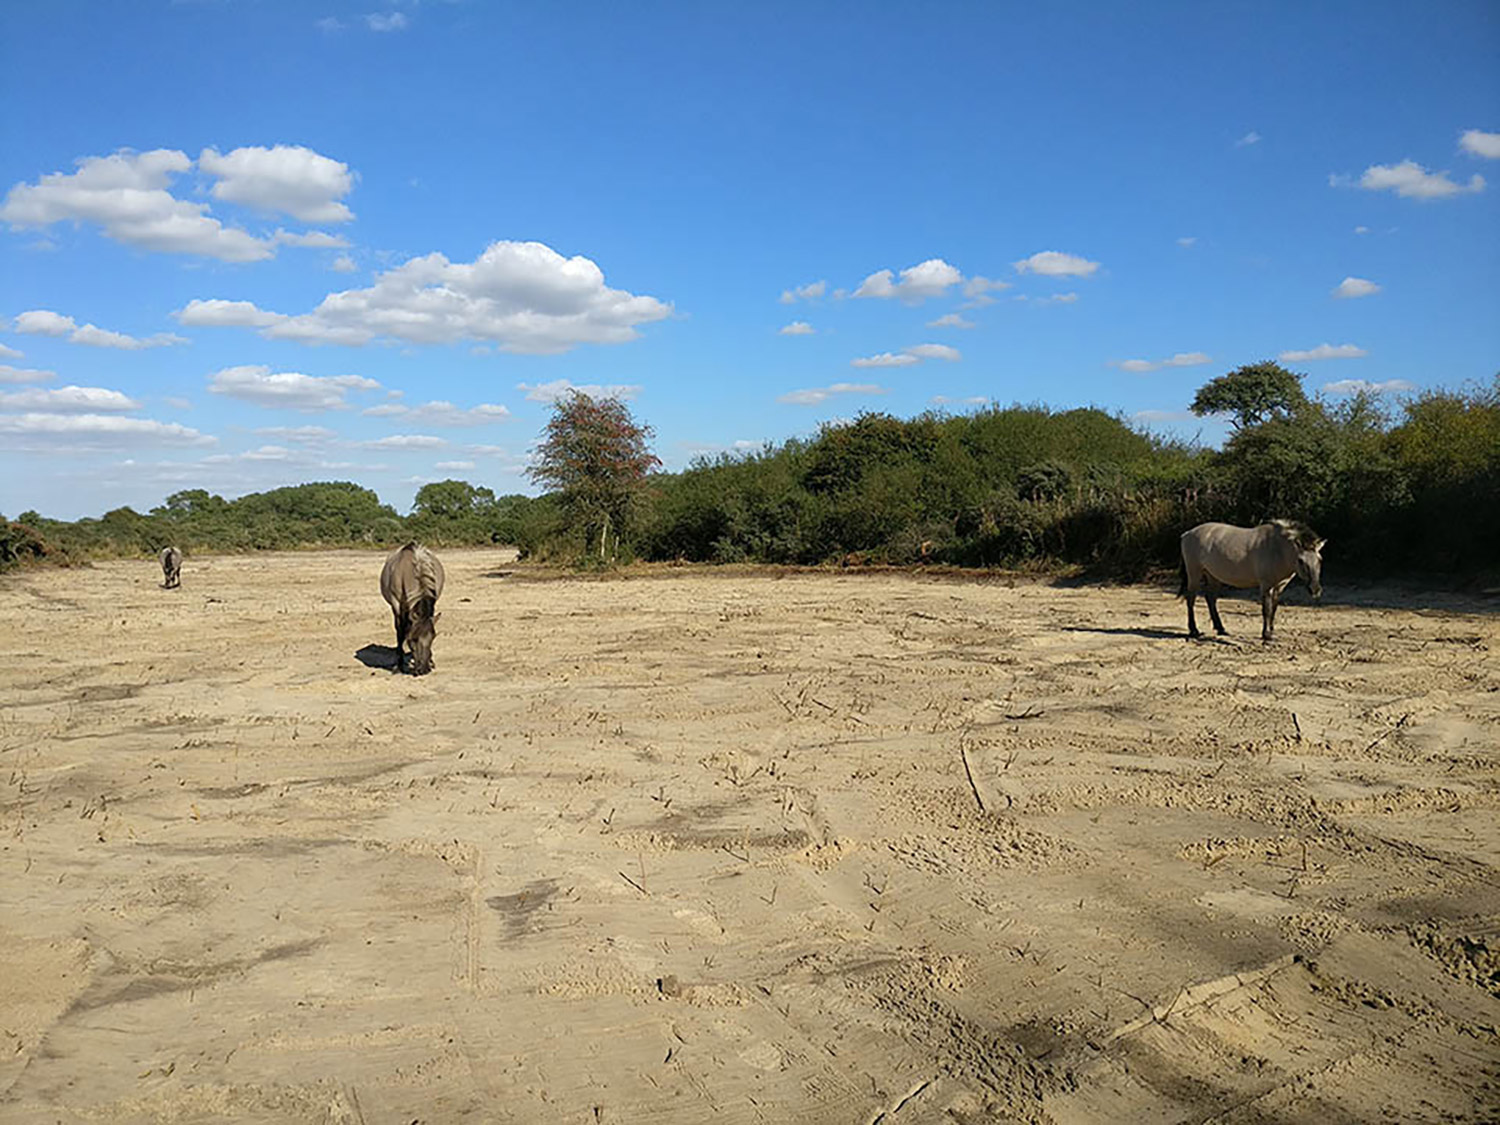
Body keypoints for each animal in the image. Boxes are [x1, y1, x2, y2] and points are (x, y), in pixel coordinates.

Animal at [378, 543, 441, 675]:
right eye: (413, 640)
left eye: (433, 637)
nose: (424, 670)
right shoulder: (396, 606)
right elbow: (400, 632)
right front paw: (398, 666)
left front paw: (431, 661)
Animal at [1182, 522, 1326, 642]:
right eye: (1301, 560)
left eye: (1320, 559)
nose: (1315, 590)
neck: (1277, 548)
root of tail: (1187, 533)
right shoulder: (1266, 585)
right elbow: (1266, 609)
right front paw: (1266, 634)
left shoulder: (1279, 586)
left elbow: (1274, 608)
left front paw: (1271, 631)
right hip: (1194, 574)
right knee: (1191, 599)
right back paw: (1194, 631)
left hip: (1213, 576)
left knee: (1210, 599)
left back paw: (1221, 629)